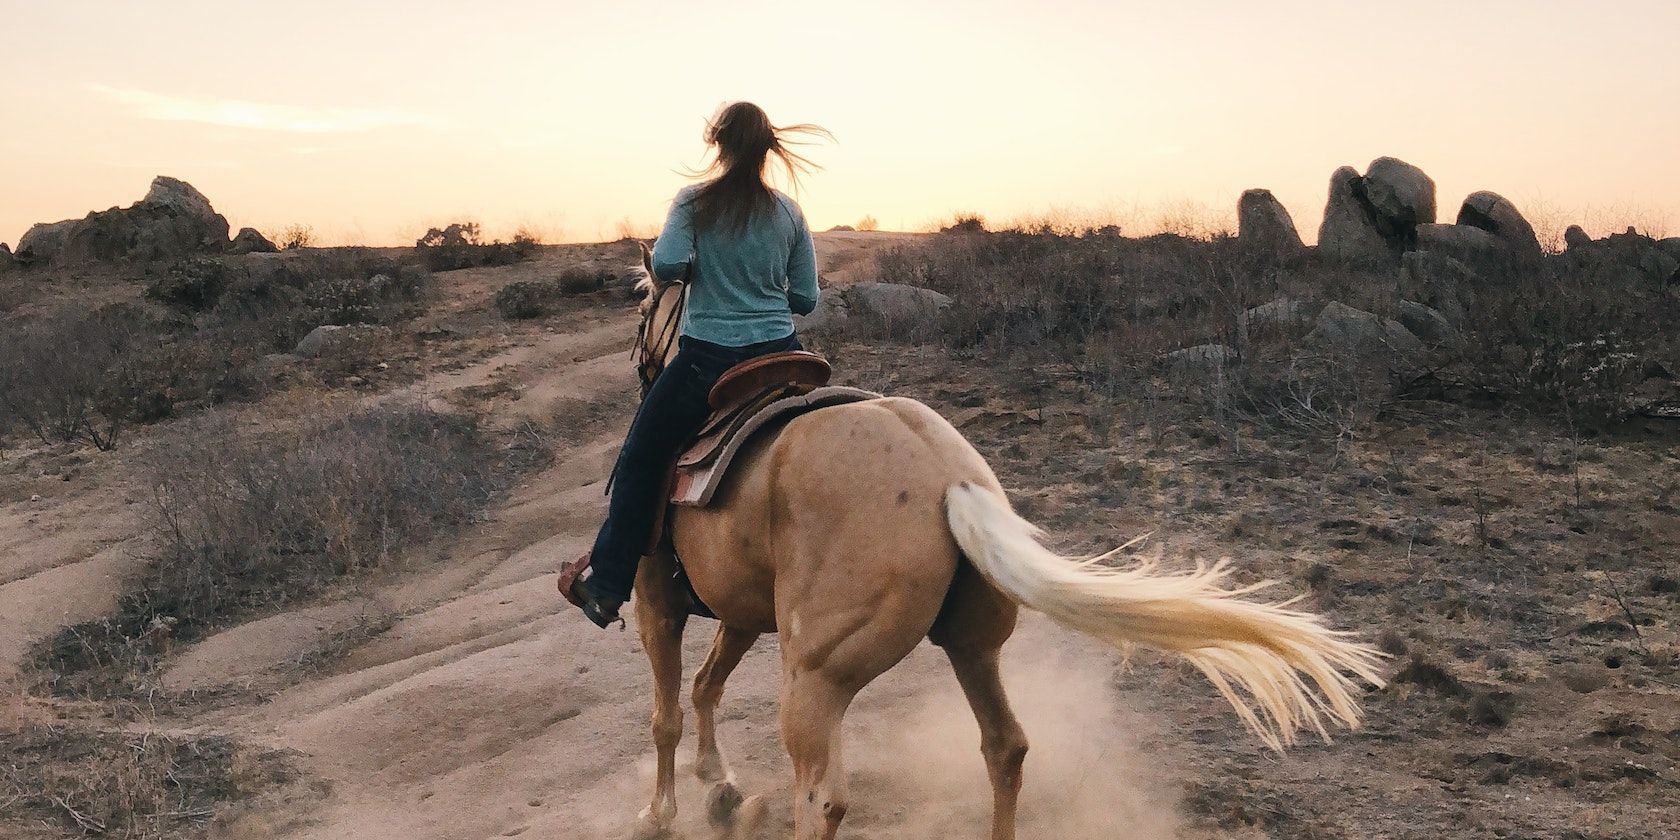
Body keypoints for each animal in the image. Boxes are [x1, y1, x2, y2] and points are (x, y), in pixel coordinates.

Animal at [618, 245, 1377, 840]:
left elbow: (665, 714)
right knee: (1004, 748)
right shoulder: (740, 611)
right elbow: (706, 686)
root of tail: (947, 478)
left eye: (643, 302)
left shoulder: (656, 599)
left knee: (822, 799)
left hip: (817, 676)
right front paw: (720, 789)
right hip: (972, 644)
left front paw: (661, 811)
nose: (642, 365)